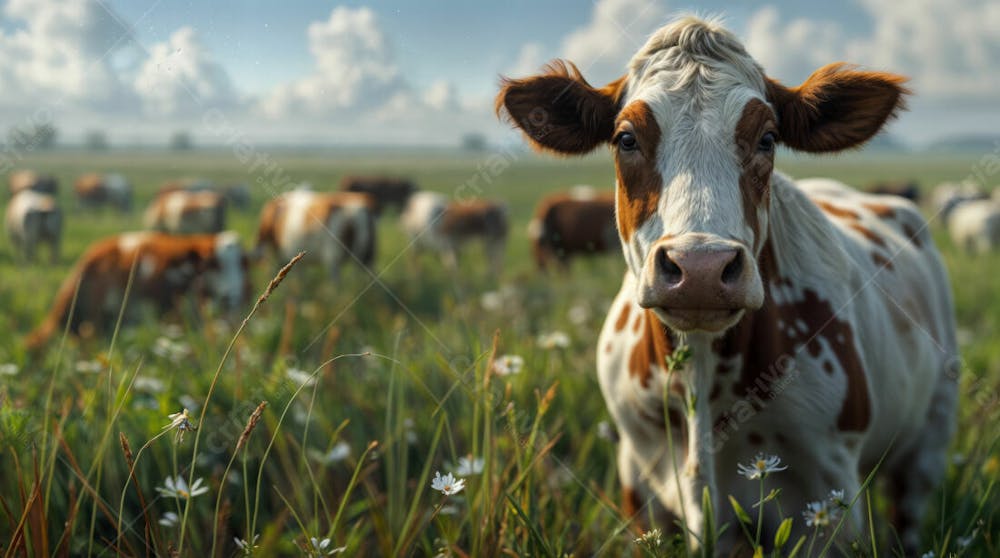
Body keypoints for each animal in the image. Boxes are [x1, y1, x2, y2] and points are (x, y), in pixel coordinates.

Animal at [496, 16, 956, 556]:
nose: (700, 267)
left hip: (928, 439)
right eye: (626, 138)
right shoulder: (638, 483)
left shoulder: (827, 498)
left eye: (768, 138)